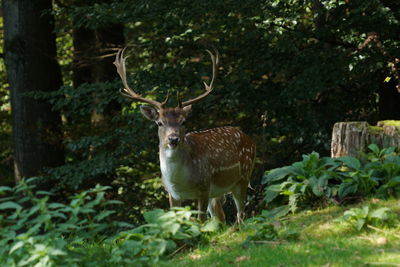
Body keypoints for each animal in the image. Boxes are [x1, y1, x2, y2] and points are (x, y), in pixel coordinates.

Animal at [112, 47, 256, 224]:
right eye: (159, 123)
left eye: (184, 121)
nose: (173, 139)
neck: (179, 181)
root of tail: (248, 138)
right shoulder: (171, 193)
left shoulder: (204, 186)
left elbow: (200, 221)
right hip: (219, 192)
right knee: (220, 216)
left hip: (243, 177)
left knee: (241, 215)